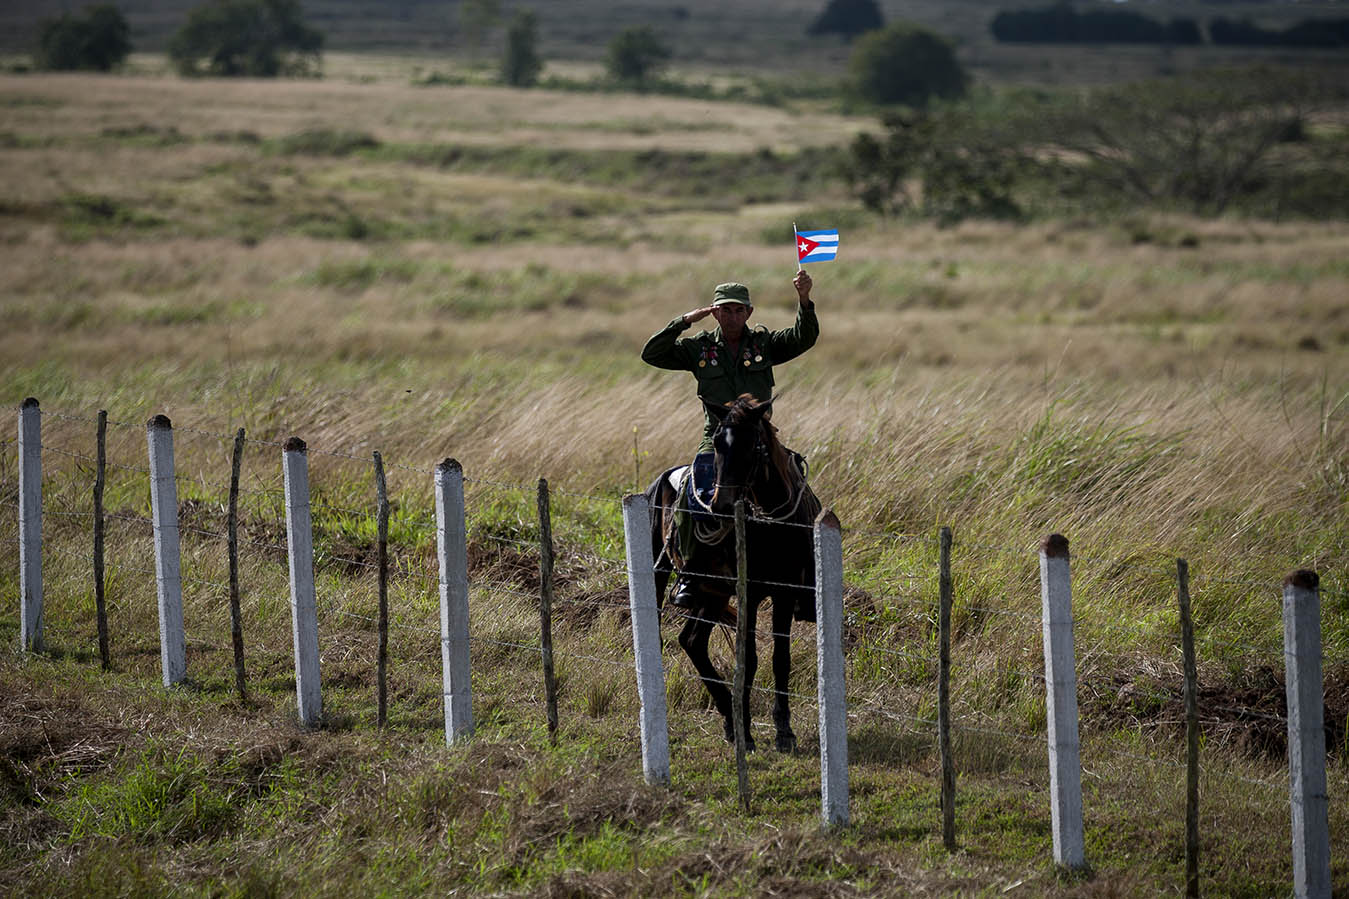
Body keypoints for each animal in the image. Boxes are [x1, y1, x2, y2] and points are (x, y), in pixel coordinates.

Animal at [644, 391, 820, 750]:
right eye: (717, 442)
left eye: (752, 443)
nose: (721, 506)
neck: (773, 525)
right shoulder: (749, 594)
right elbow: (748, 658)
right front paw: (747, 732)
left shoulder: (784, 593)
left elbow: (780, 659)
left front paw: (784, 731)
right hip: (665, 575)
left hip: (712, 594)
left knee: (692, 641)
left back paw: (727, 714)